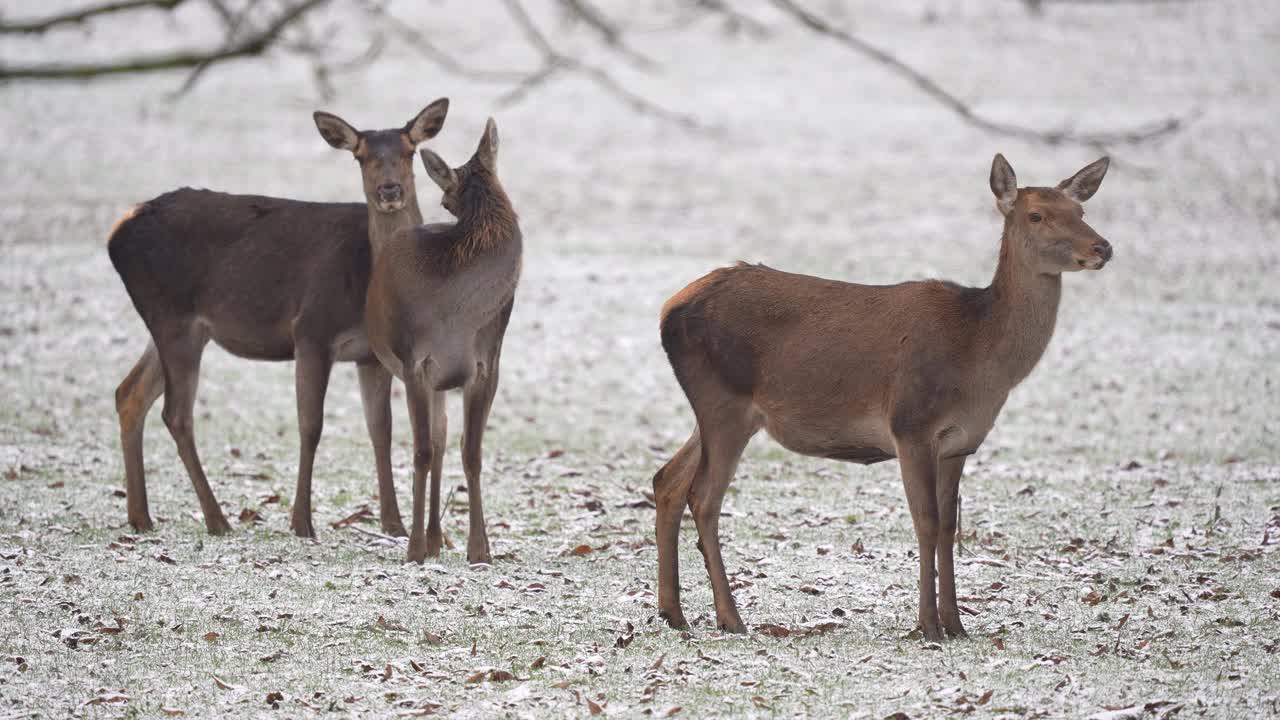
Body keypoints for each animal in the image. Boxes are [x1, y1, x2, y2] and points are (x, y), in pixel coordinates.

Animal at [107, 99, 453, 538]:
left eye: (409, 151)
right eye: (361, 156)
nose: (389, 190)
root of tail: (116, 231)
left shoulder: (369, 356)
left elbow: (381, 430)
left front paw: (394, 524)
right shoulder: (310, 330)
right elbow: (310, 425)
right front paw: (301, 522)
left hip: (180, 326)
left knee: (130, 393)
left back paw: (141, 517)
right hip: (172, 316)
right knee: (176, 414)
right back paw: (217, 519)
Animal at [314, 114, 519, 563]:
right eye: (445, 201)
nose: (390, 191)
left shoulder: (487, 364)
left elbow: (471, 452)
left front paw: (480, 550)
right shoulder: (413, 362)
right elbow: (421, 451)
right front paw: (413, 550)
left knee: (442, 438)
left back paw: (439, 537)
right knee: (429, 443)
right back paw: (427, 538)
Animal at [655, 154, 1116, 635]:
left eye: (1080, 211)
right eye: (1037, 215)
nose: (1103, 247)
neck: (979, 355)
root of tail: (669, 310)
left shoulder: (961, 442)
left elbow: (949, 527)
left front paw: (956, 625)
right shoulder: (910, 424)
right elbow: (926, 523)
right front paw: (928, 627)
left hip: (720, 412)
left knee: (668, 480)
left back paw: (674, 613)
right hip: (724, 401)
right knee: (704, 498)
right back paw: (731, 618)